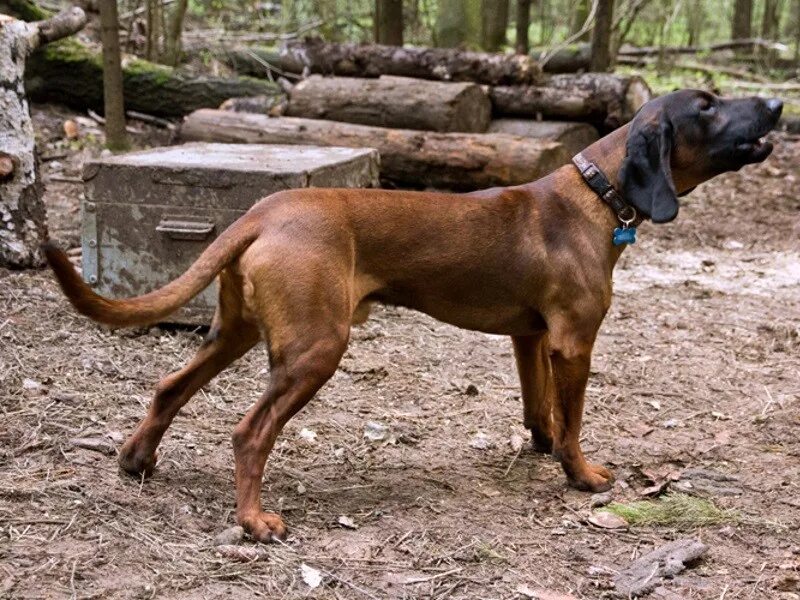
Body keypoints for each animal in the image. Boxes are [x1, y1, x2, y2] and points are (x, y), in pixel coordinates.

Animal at [43, 90, 780, 544]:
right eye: (706, 107)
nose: (777, 103)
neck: (594, 195)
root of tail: (264, 210)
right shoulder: (574, 343)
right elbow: (572, 423)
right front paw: (582, 477)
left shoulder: (529, 340)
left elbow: (539, 410)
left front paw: (541, 448)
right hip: (316, 348)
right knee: (249, 433)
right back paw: (254, 521)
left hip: (238, 333)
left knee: (170, 387)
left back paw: (137, 460)